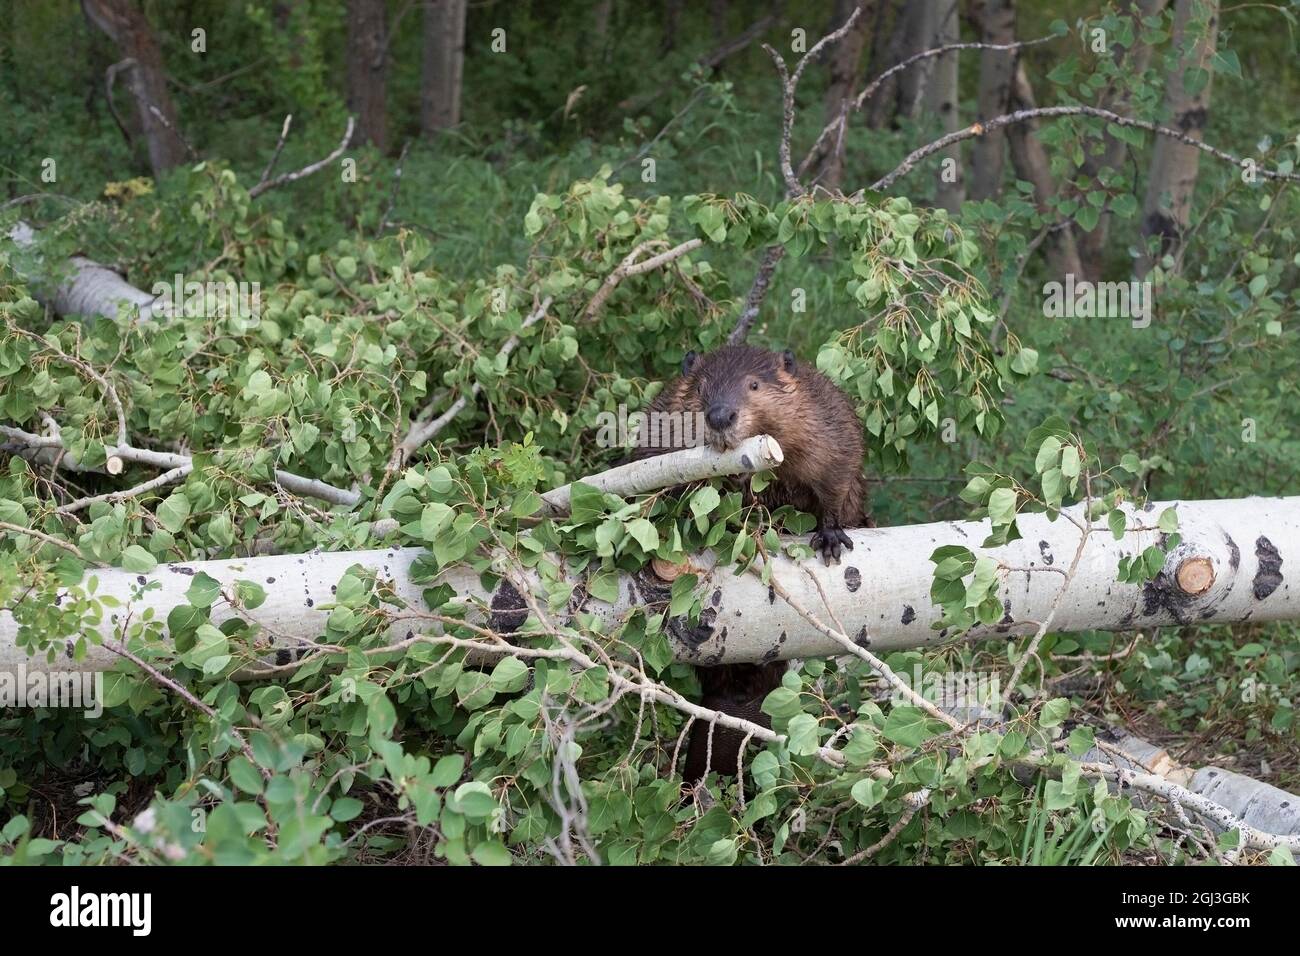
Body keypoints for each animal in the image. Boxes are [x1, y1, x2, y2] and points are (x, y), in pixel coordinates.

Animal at [631, 348, 873, 780]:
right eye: (701, 387)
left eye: (754, 385)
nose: (720, 416)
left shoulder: (830, 426)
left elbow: (836, 479)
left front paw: (830, 538)